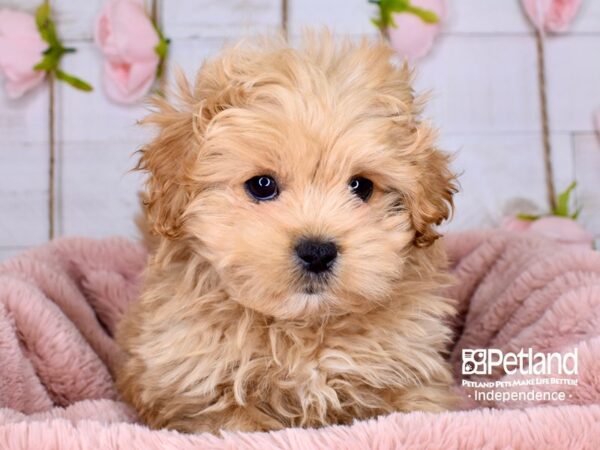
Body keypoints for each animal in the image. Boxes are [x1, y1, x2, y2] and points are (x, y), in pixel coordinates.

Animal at [116, 31, 460, 432]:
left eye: (361, 186)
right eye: (262, 185)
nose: (318, 251)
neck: (301, 327)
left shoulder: (411, 367)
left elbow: (418, 411)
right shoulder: (195, 391)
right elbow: (234, 422)